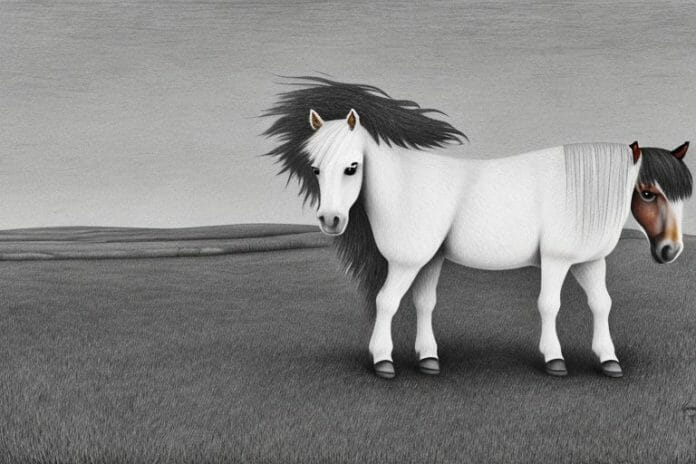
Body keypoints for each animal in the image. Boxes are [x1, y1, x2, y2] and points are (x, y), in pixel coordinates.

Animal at [263, 77, 693, 379]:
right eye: (648, 193)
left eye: (350, 168)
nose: (671, 250)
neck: (580, 187)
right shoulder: (556, 261)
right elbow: (549, 304)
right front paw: (554, 359)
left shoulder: (588, 261)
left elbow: (602, 304)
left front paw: (608, 360)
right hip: (409, 261)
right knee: (387, 302)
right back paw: (384, 361)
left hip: (429, 260)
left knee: (423, 303)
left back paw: (429, 359)